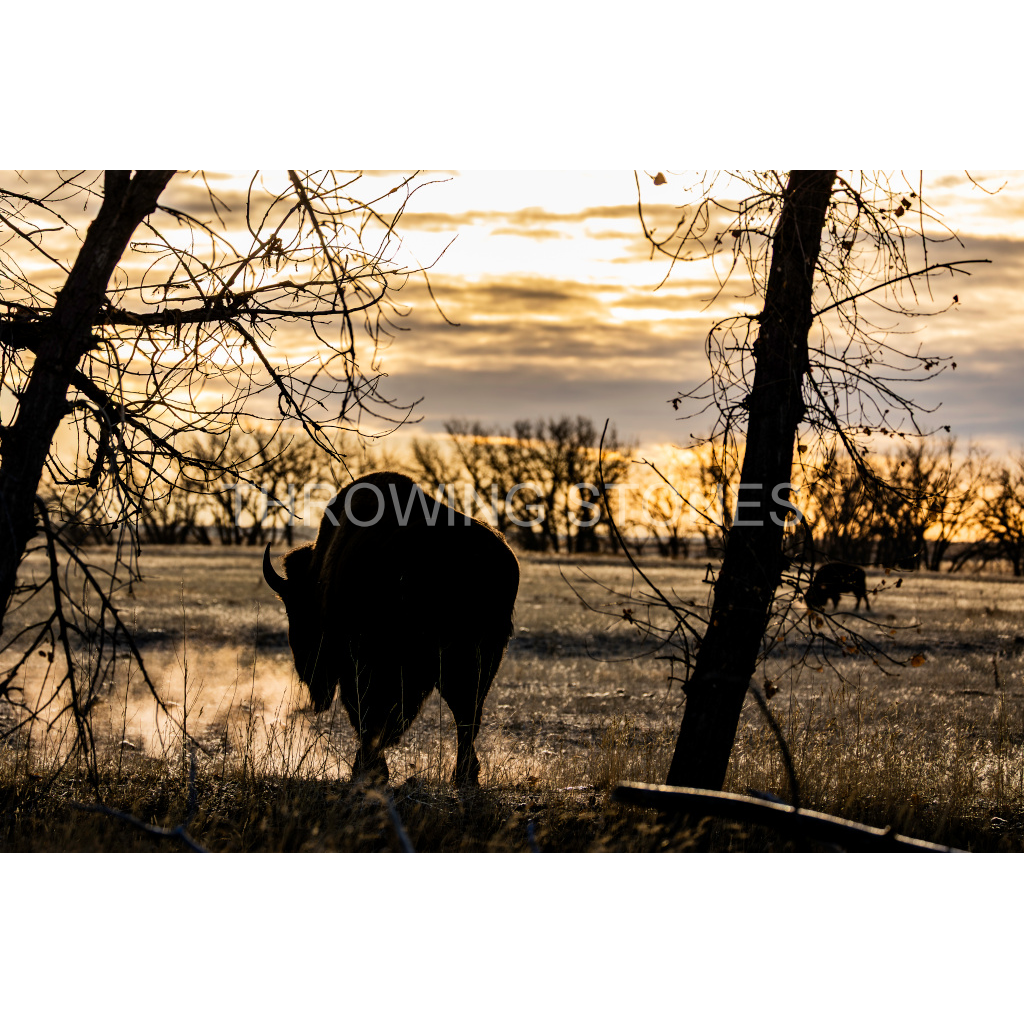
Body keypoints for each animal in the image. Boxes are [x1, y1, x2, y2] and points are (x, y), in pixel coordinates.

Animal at [263, 472, 520, 786]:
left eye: (295, 609)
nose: (307, 672)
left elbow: (366, 715)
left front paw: (368, 771)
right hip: (480, 658)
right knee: (467, 715)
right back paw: (465, 776)